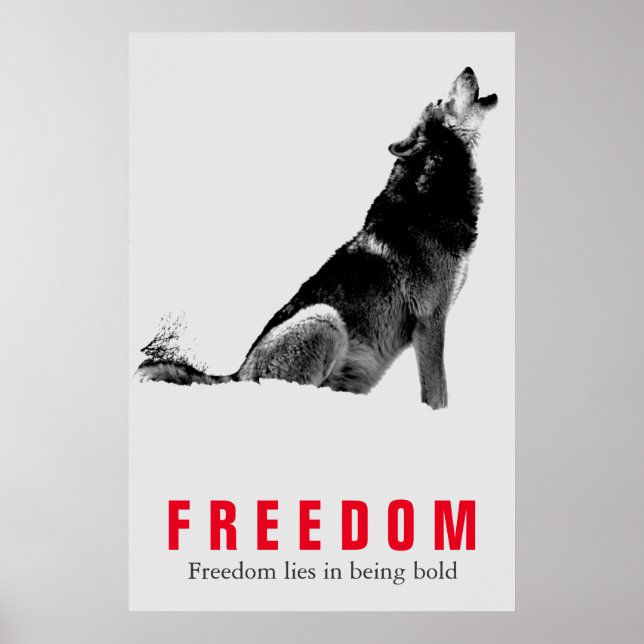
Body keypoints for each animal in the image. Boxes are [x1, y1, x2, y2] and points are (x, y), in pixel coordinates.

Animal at [136, 67, 498, 408]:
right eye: (440, 99)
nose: (468, 67)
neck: (434, 194)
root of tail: (237, 374)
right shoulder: (430, 320)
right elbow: (438, 393)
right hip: (325, 318)